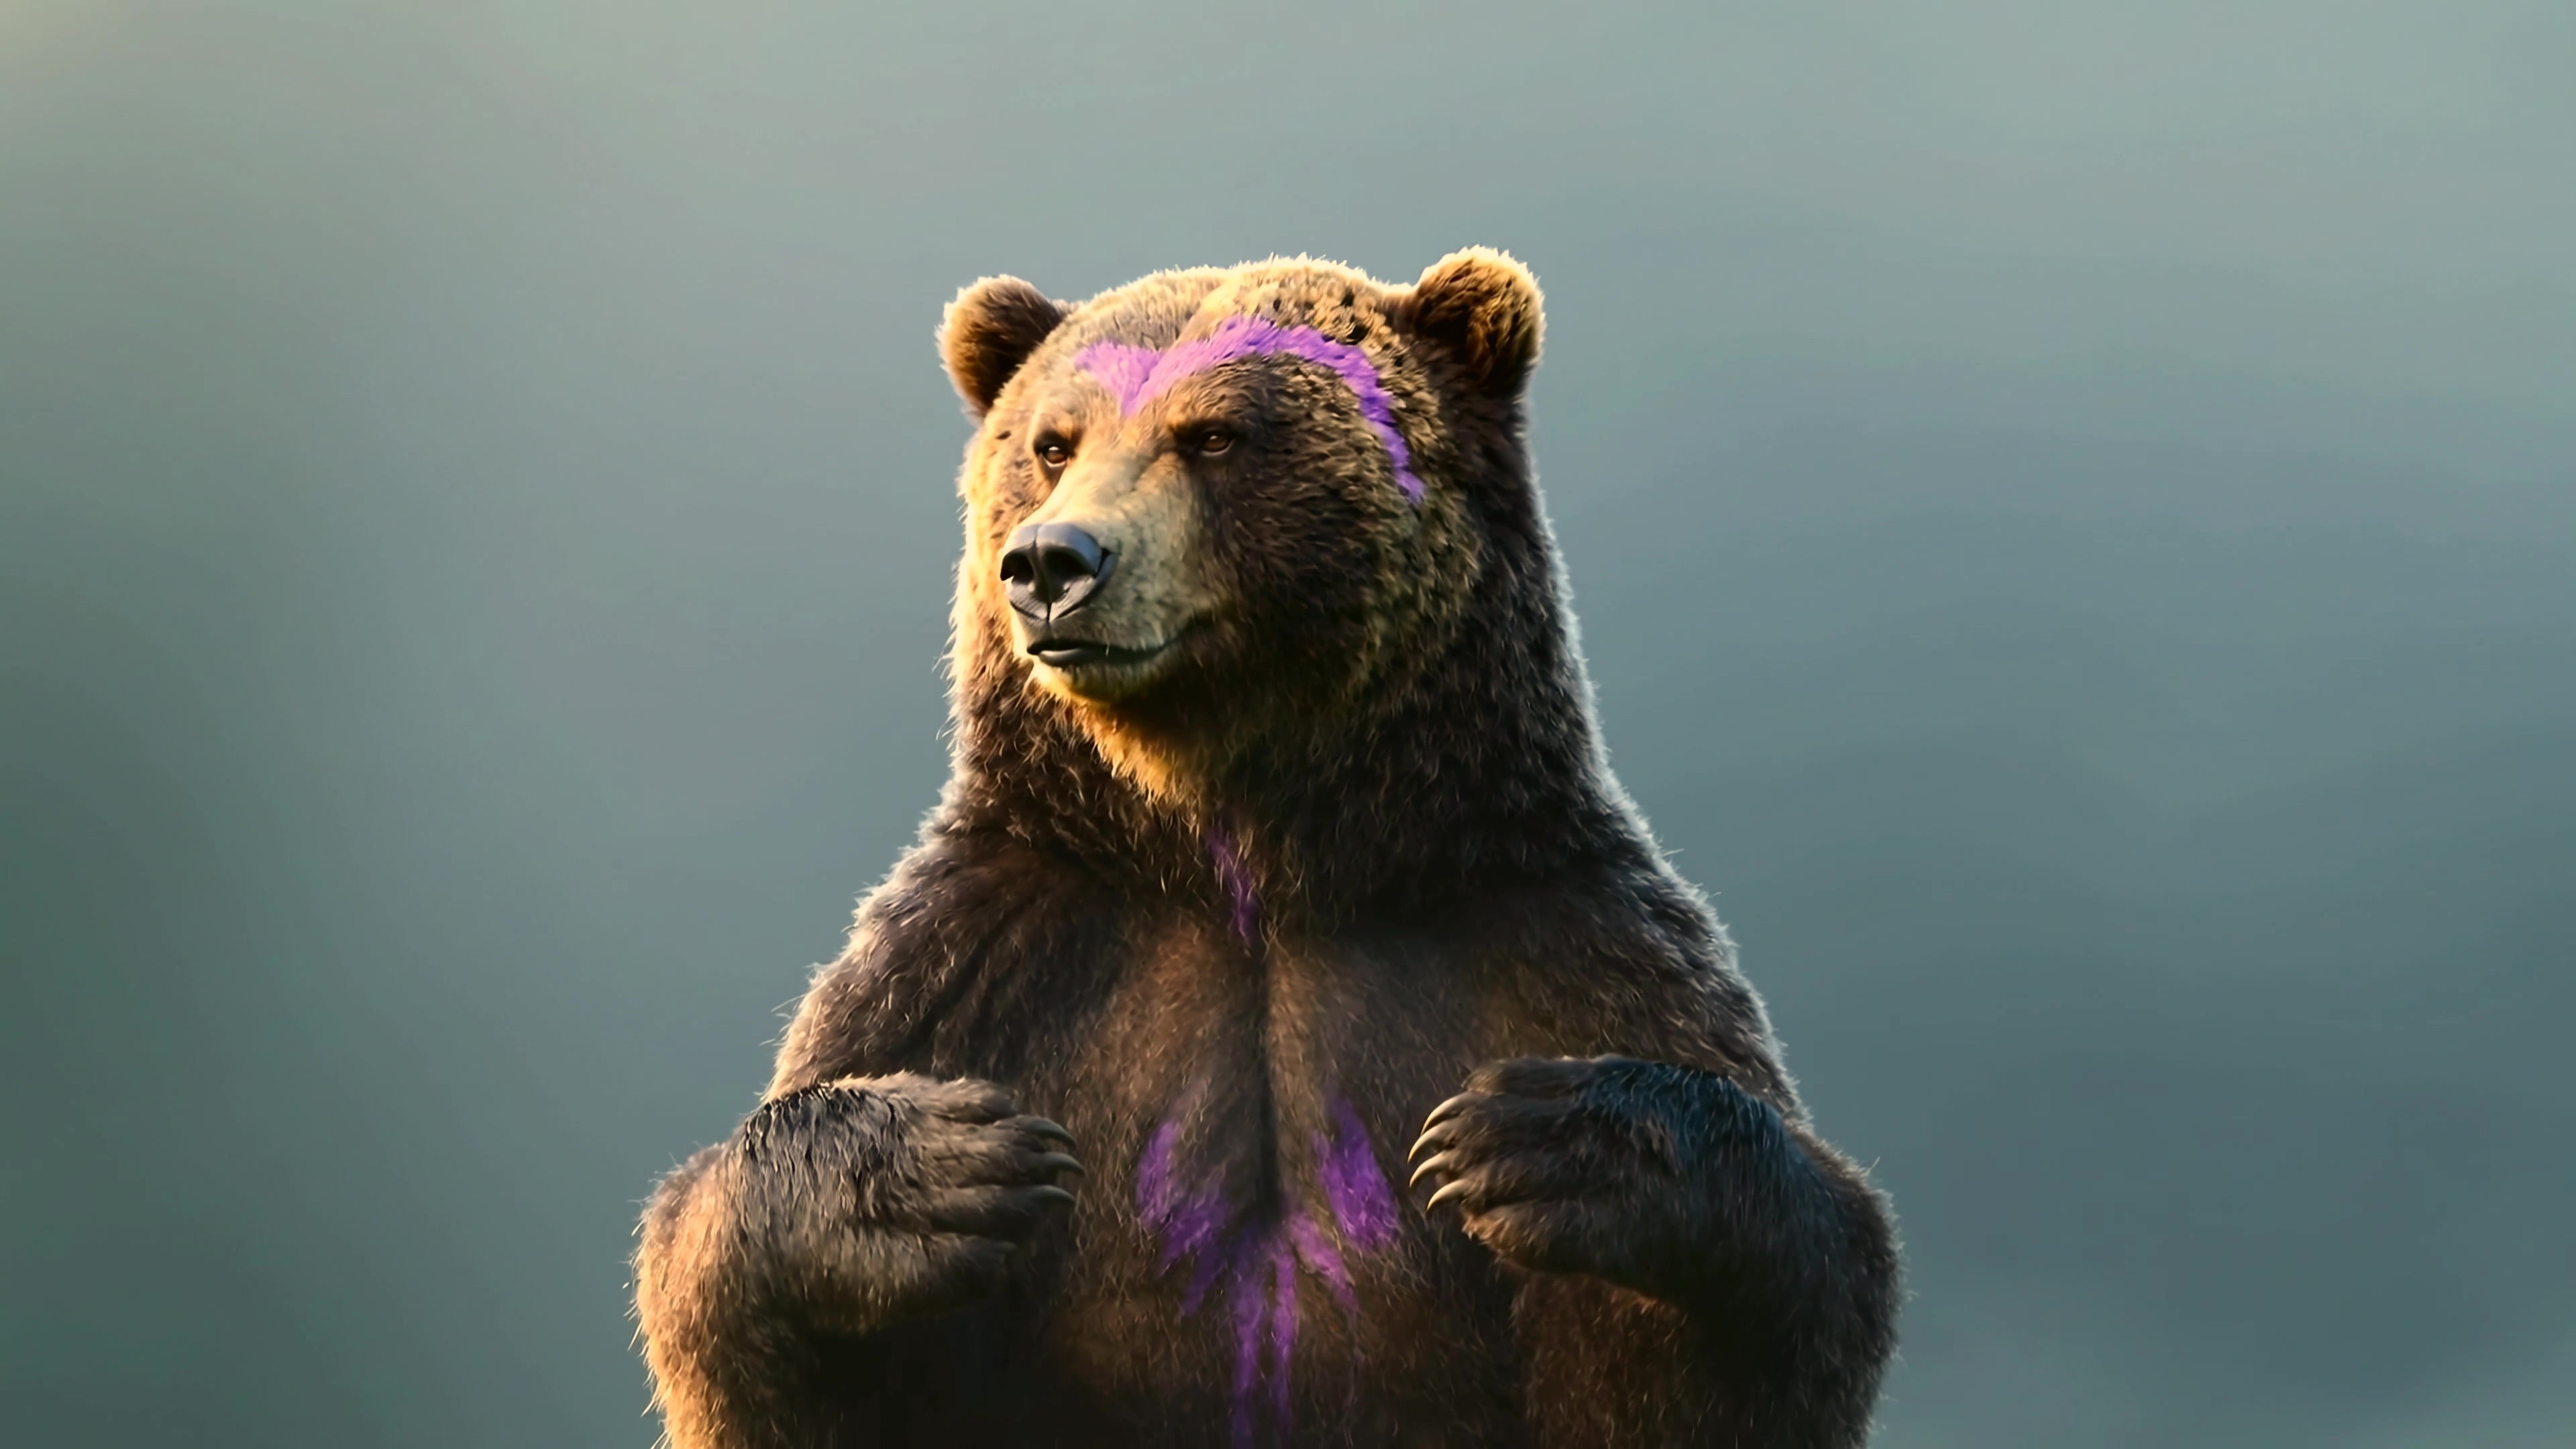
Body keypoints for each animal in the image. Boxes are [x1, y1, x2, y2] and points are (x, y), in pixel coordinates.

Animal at [632, 250, 1900, 1448]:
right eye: (1051, 442)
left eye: (1214, 434)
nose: (1053, 562)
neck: (1249, 857)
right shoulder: (985, 957)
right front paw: (938, 1169)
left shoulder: (1551, 934)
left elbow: (1741, 1324)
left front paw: (1543, 1144)